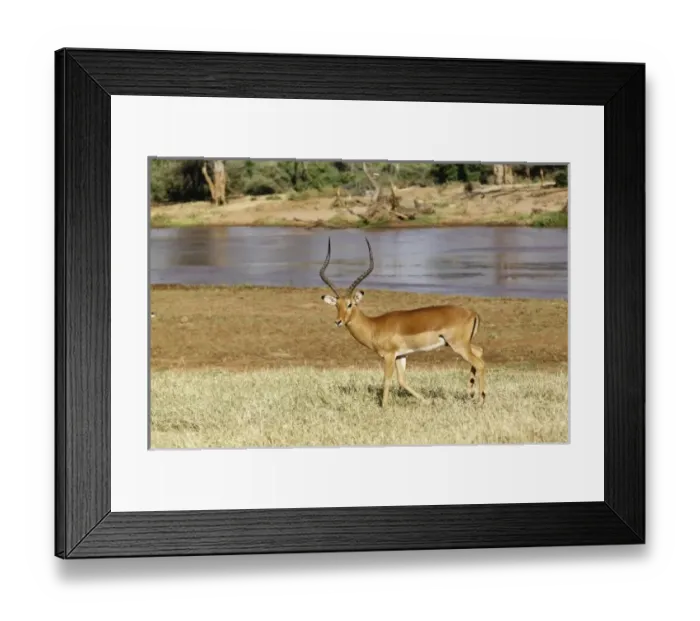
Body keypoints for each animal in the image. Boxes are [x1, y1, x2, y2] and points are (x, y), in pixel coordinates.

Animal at [319, 237, 486, 407]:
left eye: (350, 304)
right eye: (336, 305)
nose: (338, 321)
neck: (374, 326)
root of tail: (472, 313)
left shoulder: (389, 355)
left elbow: (387, 380)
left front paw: (384, 407)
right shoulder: (401, 355)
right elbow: (402, 381)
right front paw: (428, 401)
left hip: (458, 345)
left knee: (480, 363)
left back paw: (480, 400)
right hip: (459, 344)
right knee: (479, 351)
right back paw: (471, 393)